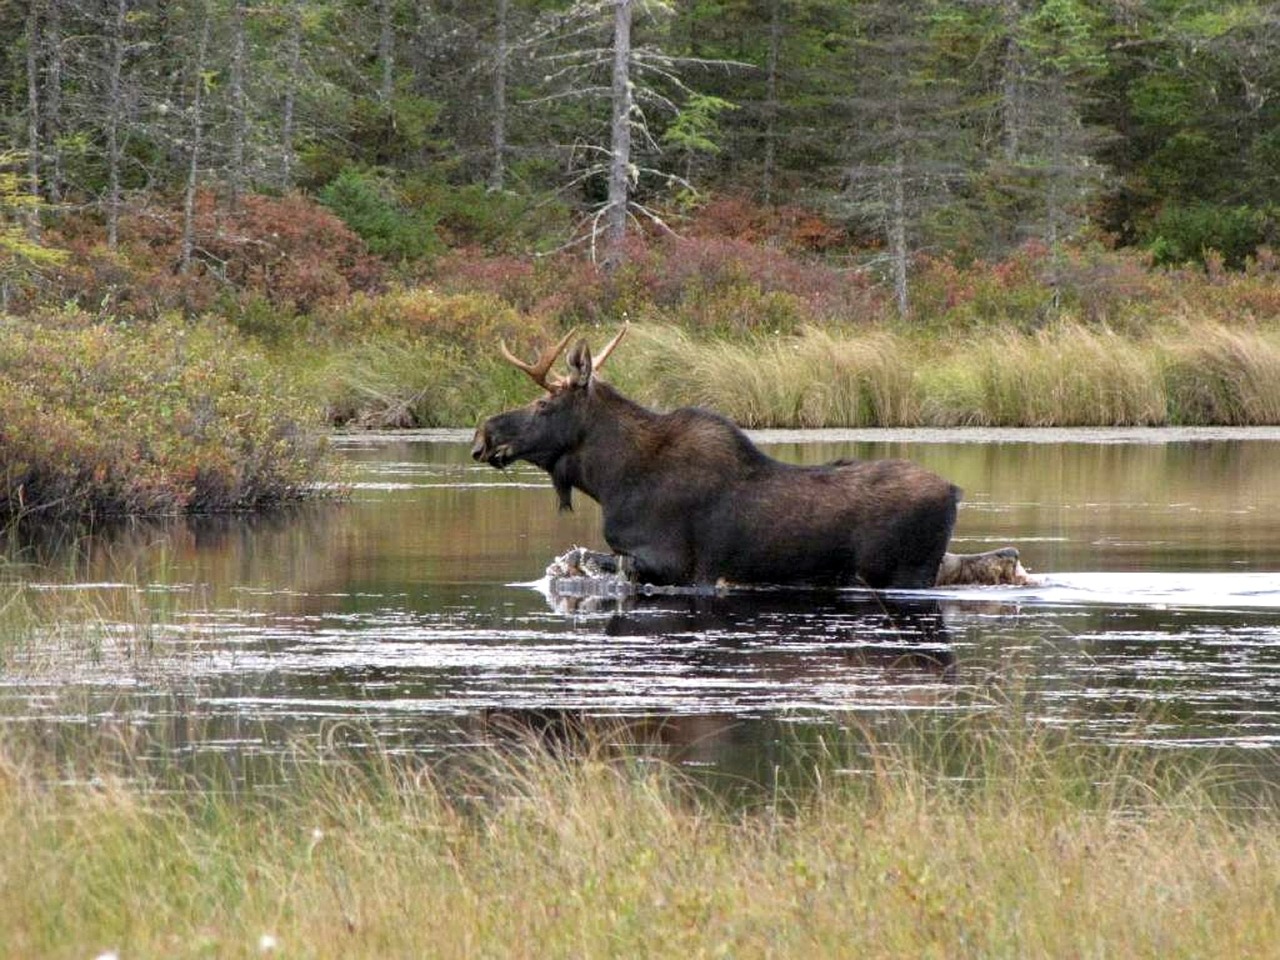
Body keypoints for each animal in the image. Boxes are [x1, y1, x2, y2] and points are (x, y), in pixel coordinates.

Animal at [471, 327, 1018, 591]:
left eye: (544, 403)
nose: (483, 434)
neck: (610, 480)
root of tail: (955, 492)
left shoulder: (670, 565)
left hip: (904, 572)